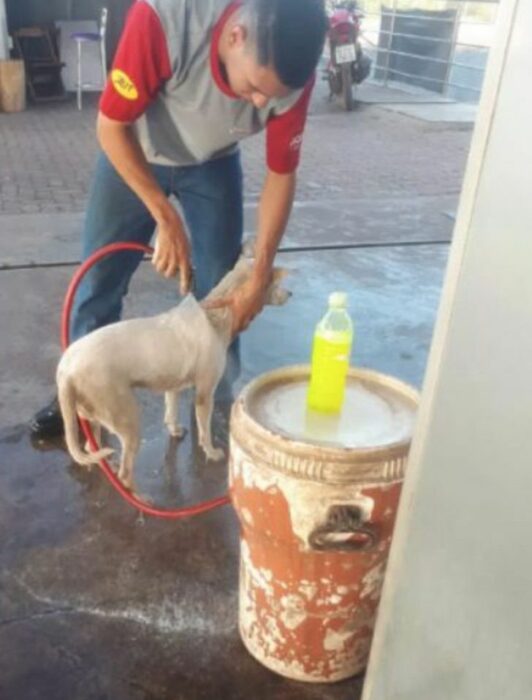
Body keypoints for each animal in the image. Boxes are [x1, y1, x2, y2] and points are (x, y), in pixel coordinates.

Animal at [57, 247, 290, 492]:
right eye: (276, 283)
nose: (291, 293)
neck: (216, 314)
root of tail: (65, 370)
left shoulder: (173, 385)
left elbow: (171, 412)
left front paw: (175, 430)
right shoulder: (204, 394)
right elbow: (205, 431)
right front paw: (212, 452)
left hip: (93, 414)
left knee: (92, 450)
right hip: (126, 419)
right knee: (125, 473)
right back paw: (139, 496)